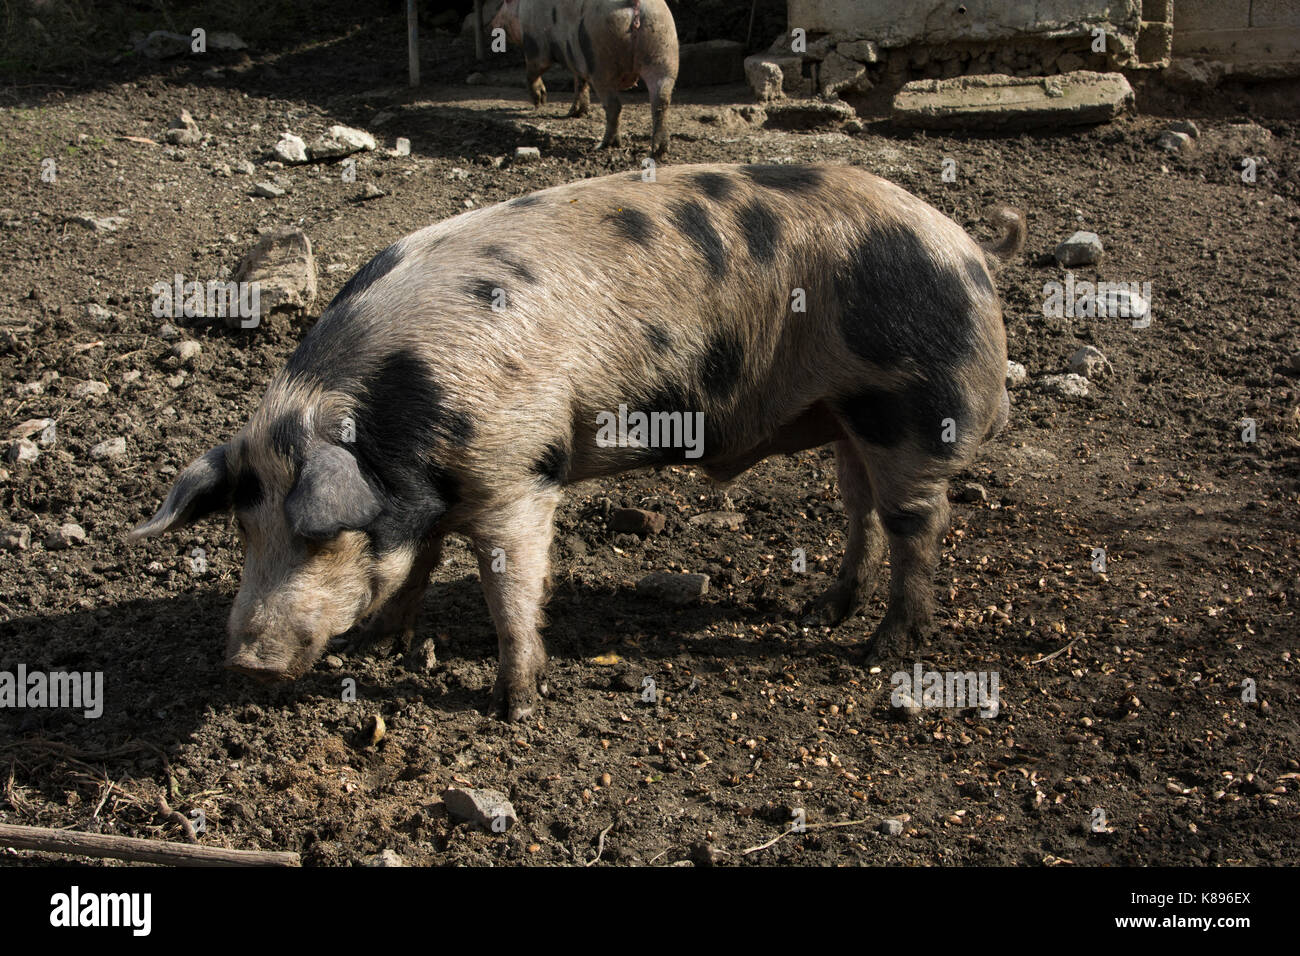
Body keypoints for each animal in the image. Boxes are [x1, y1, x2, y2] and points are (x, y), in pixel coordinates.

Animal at [131, 162, 1024, 717]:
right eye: (243, 530)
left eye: (319, 536)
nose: (247, 662)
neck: (404, 426)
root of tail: (971, 250)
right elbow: (416, 564)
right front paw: (387, 645)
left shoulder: (519, 473)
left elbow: (512, 587)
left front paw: (513, 707)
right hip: (846, 416)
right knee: (858, 506)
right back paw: (821, 611)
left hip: (908, 409)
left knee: (919, 523)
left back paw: (879, 651)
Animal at [488, 0, 681, 157]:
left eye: (503, 3)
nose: (490, 24)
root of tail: (634, 5)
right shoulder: (577, 62)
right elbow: (580, 82)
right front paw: (575, 113)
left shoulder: (536, 43)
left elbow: (533, 71)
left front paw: (540, 103)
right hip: (664, 45)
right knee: (661, 100)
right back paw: (659, 150)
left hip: (600, 57)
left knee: (614, 105)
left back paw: (604, 145)